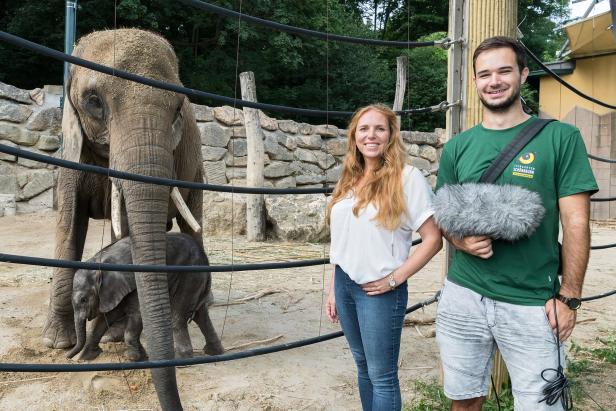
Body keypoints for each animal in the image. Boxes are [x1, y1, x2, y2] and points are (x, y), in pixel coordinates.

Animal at [44, 28, 207, 408]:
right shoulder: (71, 152)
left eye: (178, 109)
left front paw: (113, 334)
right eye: (93, 100)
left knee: (193, 224)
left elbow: (130, 229)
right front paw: (56, 343)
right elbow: (69, 224)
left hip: (195, 169)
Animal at [67, 233, 224, 362]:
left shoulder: (135, 282)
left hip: (190, 277)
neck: (99, 263)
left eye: (83, 300)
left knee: (178, 317)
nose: (67, 356)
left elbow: (137, 313)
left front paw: (133, 358)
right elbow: (105, 318)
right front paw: (85, 357)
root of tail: (205, 258)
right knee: (201, 315)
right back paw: (215, 352)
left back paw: (180, 360)